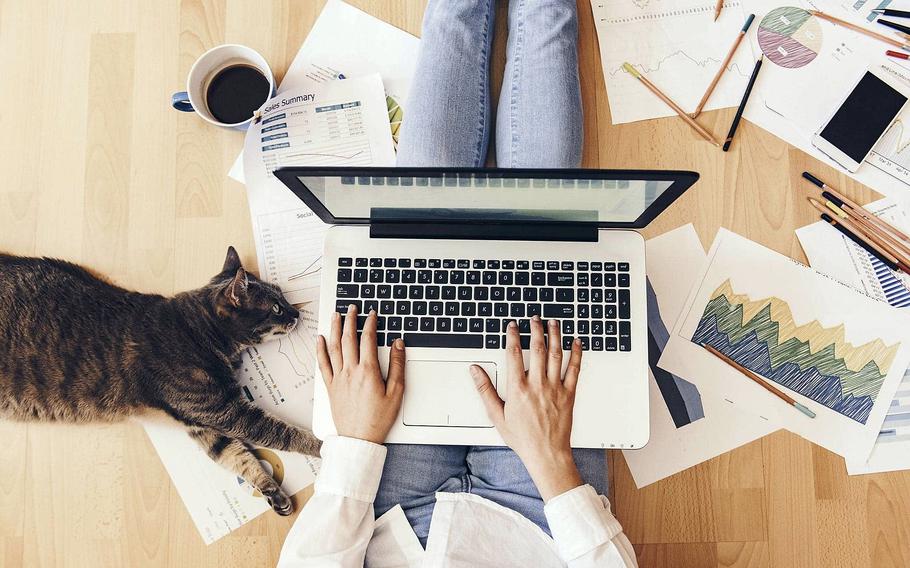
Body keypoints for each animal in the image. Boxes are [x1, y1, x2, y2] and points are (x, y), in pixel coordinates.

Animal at [0, 247, 320, 516]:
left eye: (284, 298)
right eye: (276, 307)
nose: (296, 312)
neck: (199, 330)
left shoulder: (203, 423)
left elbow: (237, 457)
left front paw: (271, 490)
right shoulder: (227, 412)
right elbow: (283, 434)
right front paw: (321, 446)